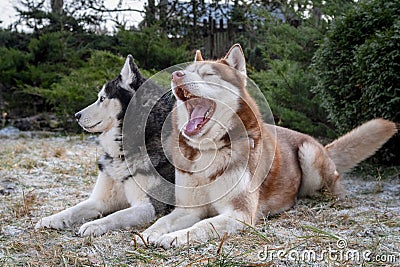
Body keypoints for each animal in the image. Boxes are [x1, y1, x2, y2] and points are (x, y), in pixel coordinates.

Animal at [33, 55, 173, 237]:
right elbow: (74, 209)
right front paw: (51, 219)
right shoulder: (100, 200)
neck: (122, 154)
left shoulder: (149, 206)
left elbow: (116, 215)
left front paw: (94, 225)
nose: (76, 115)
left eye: (102, 98)